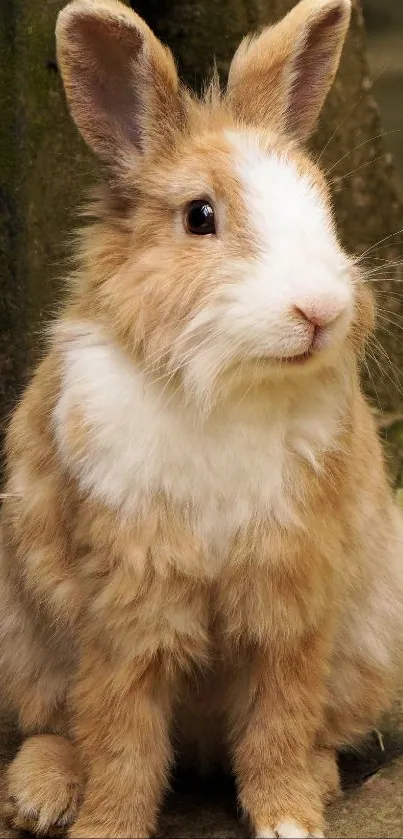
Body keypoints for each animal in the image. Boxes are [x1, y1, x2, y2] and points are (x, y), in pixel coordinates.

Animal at [1, 0, 403, 836]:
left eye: (322, 204)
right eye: (200, 216)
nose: (319, 310)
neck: (227, 385)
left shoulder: (289, 589)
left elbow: (279, 716)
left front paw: (287, 818)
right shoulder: (127, 596)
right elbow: (119, 732)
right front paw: (105, 827)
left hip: (372, 639)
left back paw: (319, 778)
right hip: (23, 636)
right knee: (55, 724)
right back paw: (40, 793)